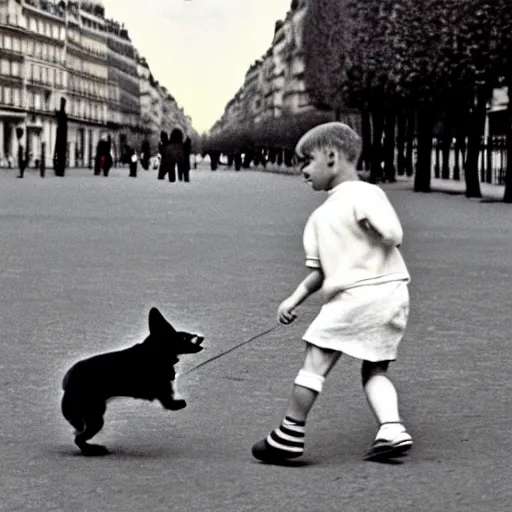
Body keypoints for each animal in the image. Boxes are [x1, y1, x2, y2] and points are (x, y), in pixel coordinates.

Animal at [60, 306, 204, 454]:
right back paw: (93, 450)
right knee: (79, 438)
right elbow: (167, 399)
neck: (156, 351)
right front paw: (178, 403)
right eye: (185, 337)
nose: (201, 336)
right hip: (95, 415)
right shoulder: (160, 385)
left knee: (78, 435)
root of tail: (68, 386)